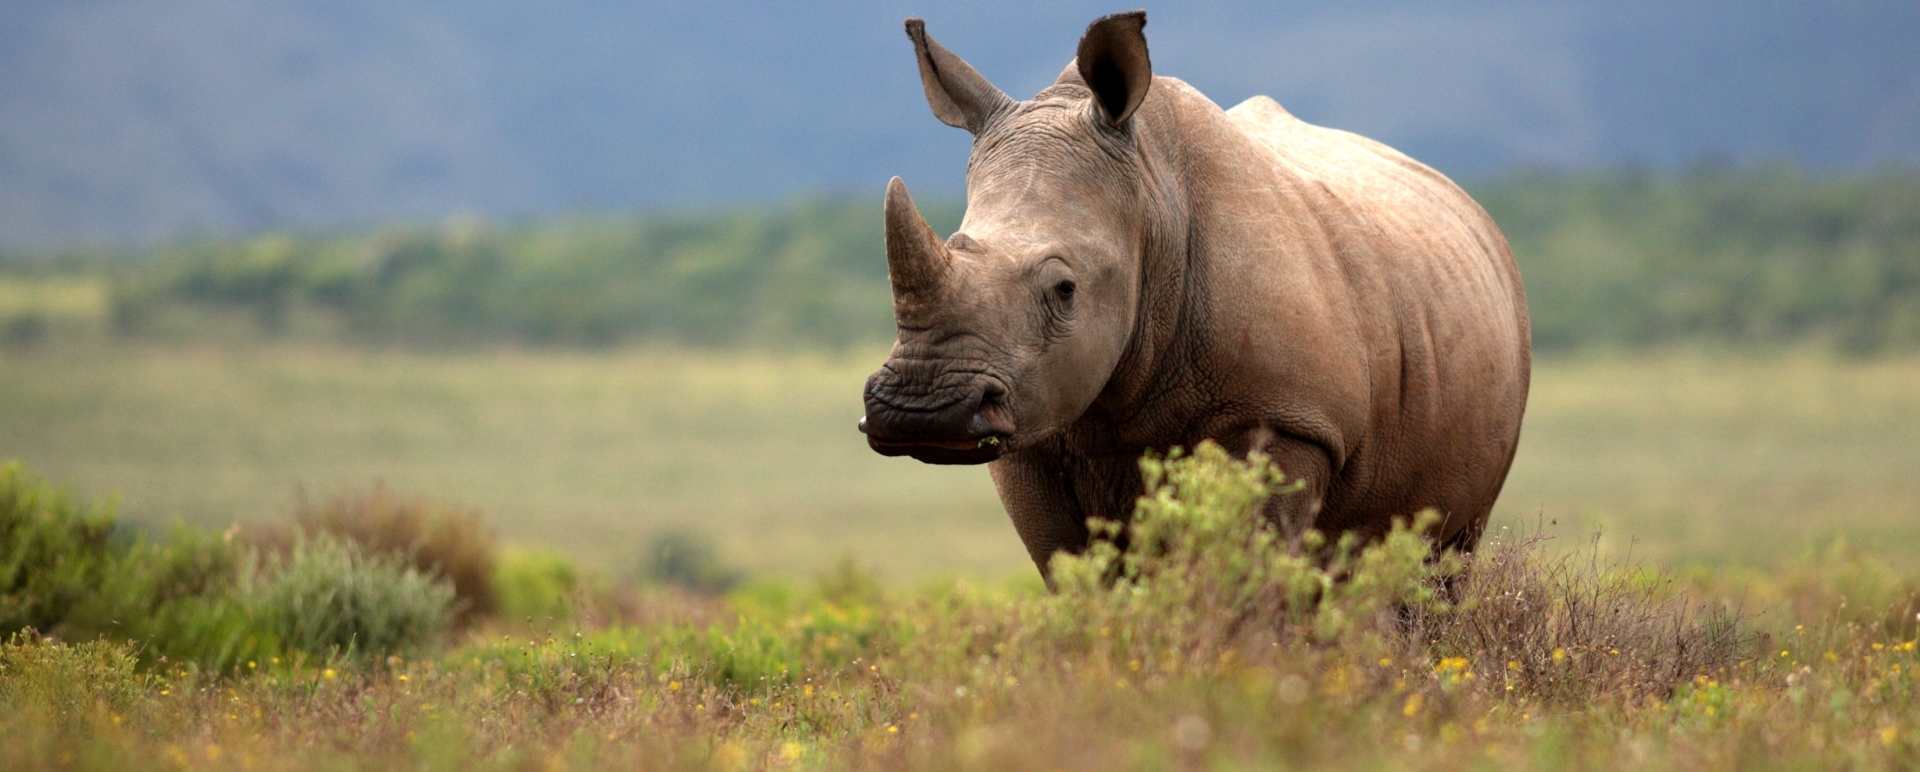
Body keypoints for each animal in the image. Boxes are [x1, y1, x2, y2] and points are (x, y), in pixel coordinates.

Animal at [859, 11, 1531, 579]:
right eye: (955, 244)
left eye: (1065, 289)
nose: (922, 411)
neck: (1152, 202)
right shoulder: (1032, 436)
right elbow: (1081, 575)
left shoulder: (1286, 419)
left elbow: (1247, 574)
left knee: (1439, 561)